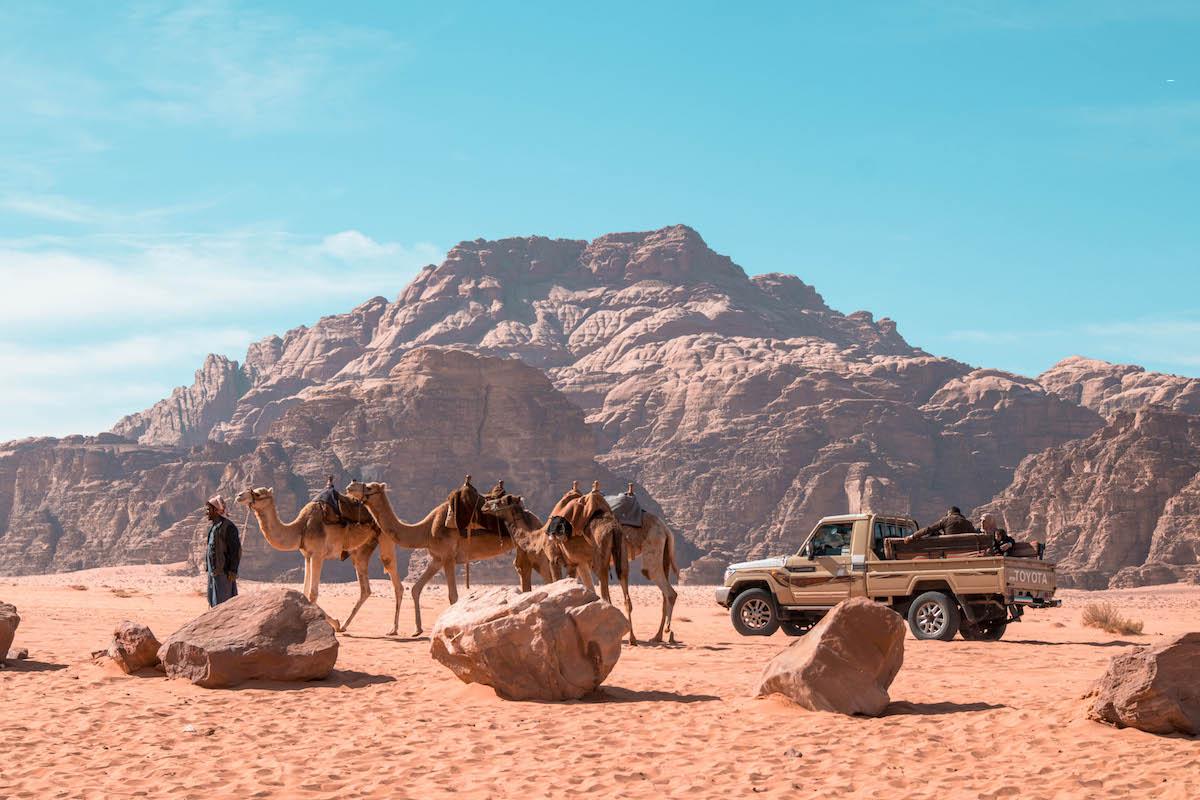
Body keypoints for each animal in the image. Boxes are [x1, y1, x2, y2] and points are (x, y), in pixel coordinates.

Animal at [234, 484, 408, 633]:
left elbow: (313, 594)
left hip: (385, 537)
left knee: (394, 578)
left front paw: (333, 623)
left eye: (257, 493)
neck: (301, 527)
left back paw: (393, 629)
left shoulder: (318, 554)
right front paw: (336, 623)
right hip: (360, 550)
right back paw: (344, 626)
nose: (239, 496)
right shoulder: (307, 555)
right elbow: (304, 592)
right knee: (365, 588)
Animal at [345, 479, 554, 633]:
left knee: (544, 572)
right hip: (521, 548)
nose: (350, 485)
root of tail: (537, 518)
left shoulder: (448, 558)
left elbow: (453, 596)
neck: (424, 531)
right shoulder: (437, 558)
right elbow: (416, 588)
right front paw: (417, 630)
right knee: (524, 570)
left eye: (369, 487)